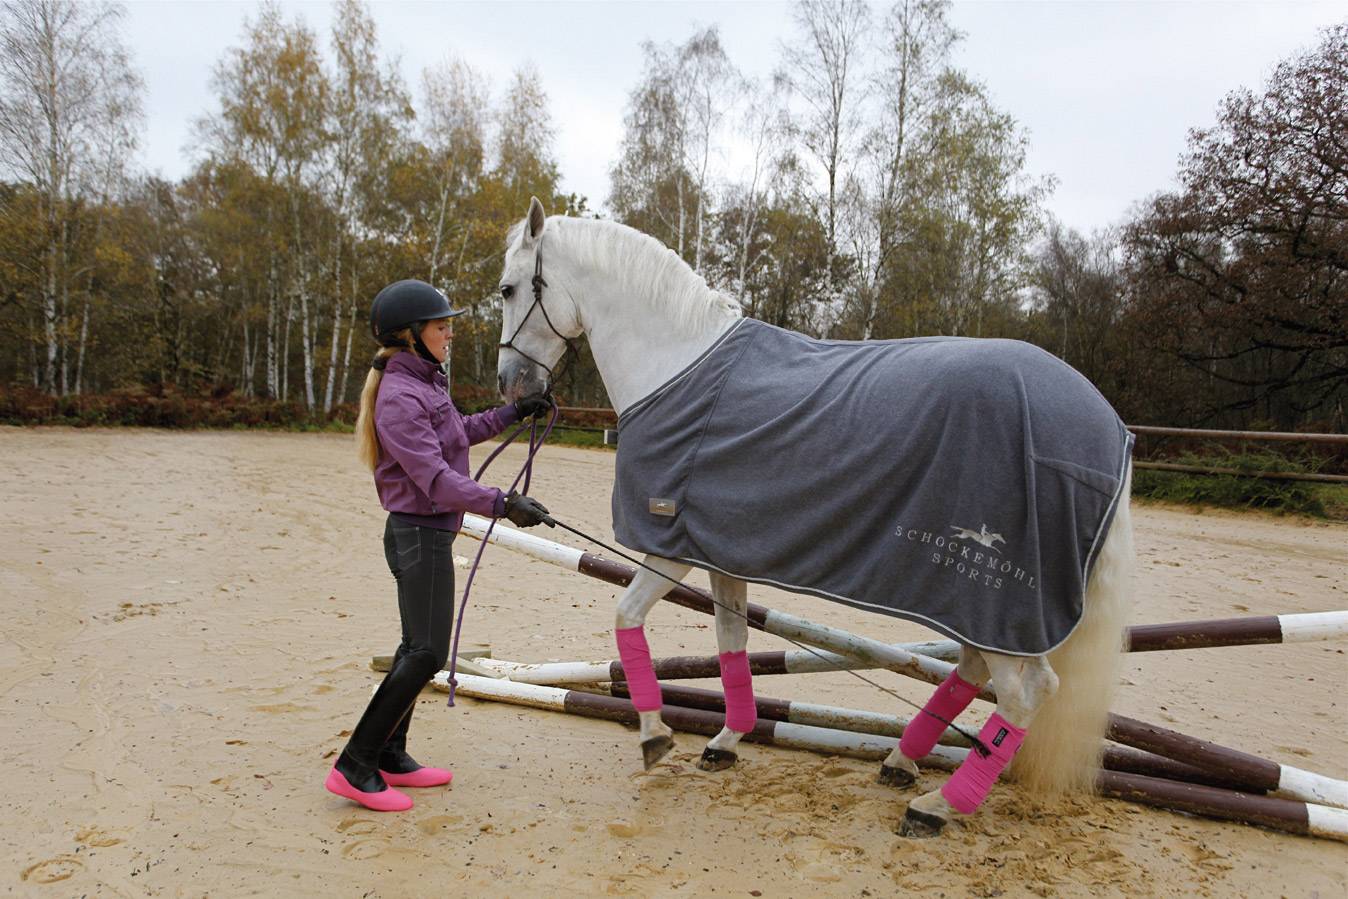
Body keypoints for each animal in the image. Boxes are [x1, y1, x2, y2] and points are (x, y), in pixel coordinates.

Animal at [493, 196, 1126, 835]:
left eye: (508, 289)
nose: (514, 388)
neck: (676, 368)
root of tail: (1107, 427)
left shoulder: (669, 547)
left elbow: (626, 617)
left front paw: (654, 736)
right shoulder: (720, 554)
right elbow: (732, 642)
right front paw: (726, 741)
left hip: (999, 602)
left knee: (1025, 694)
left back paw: (937, 806)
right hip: (989, 609)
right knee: (978, 672)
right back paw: (902, 761)